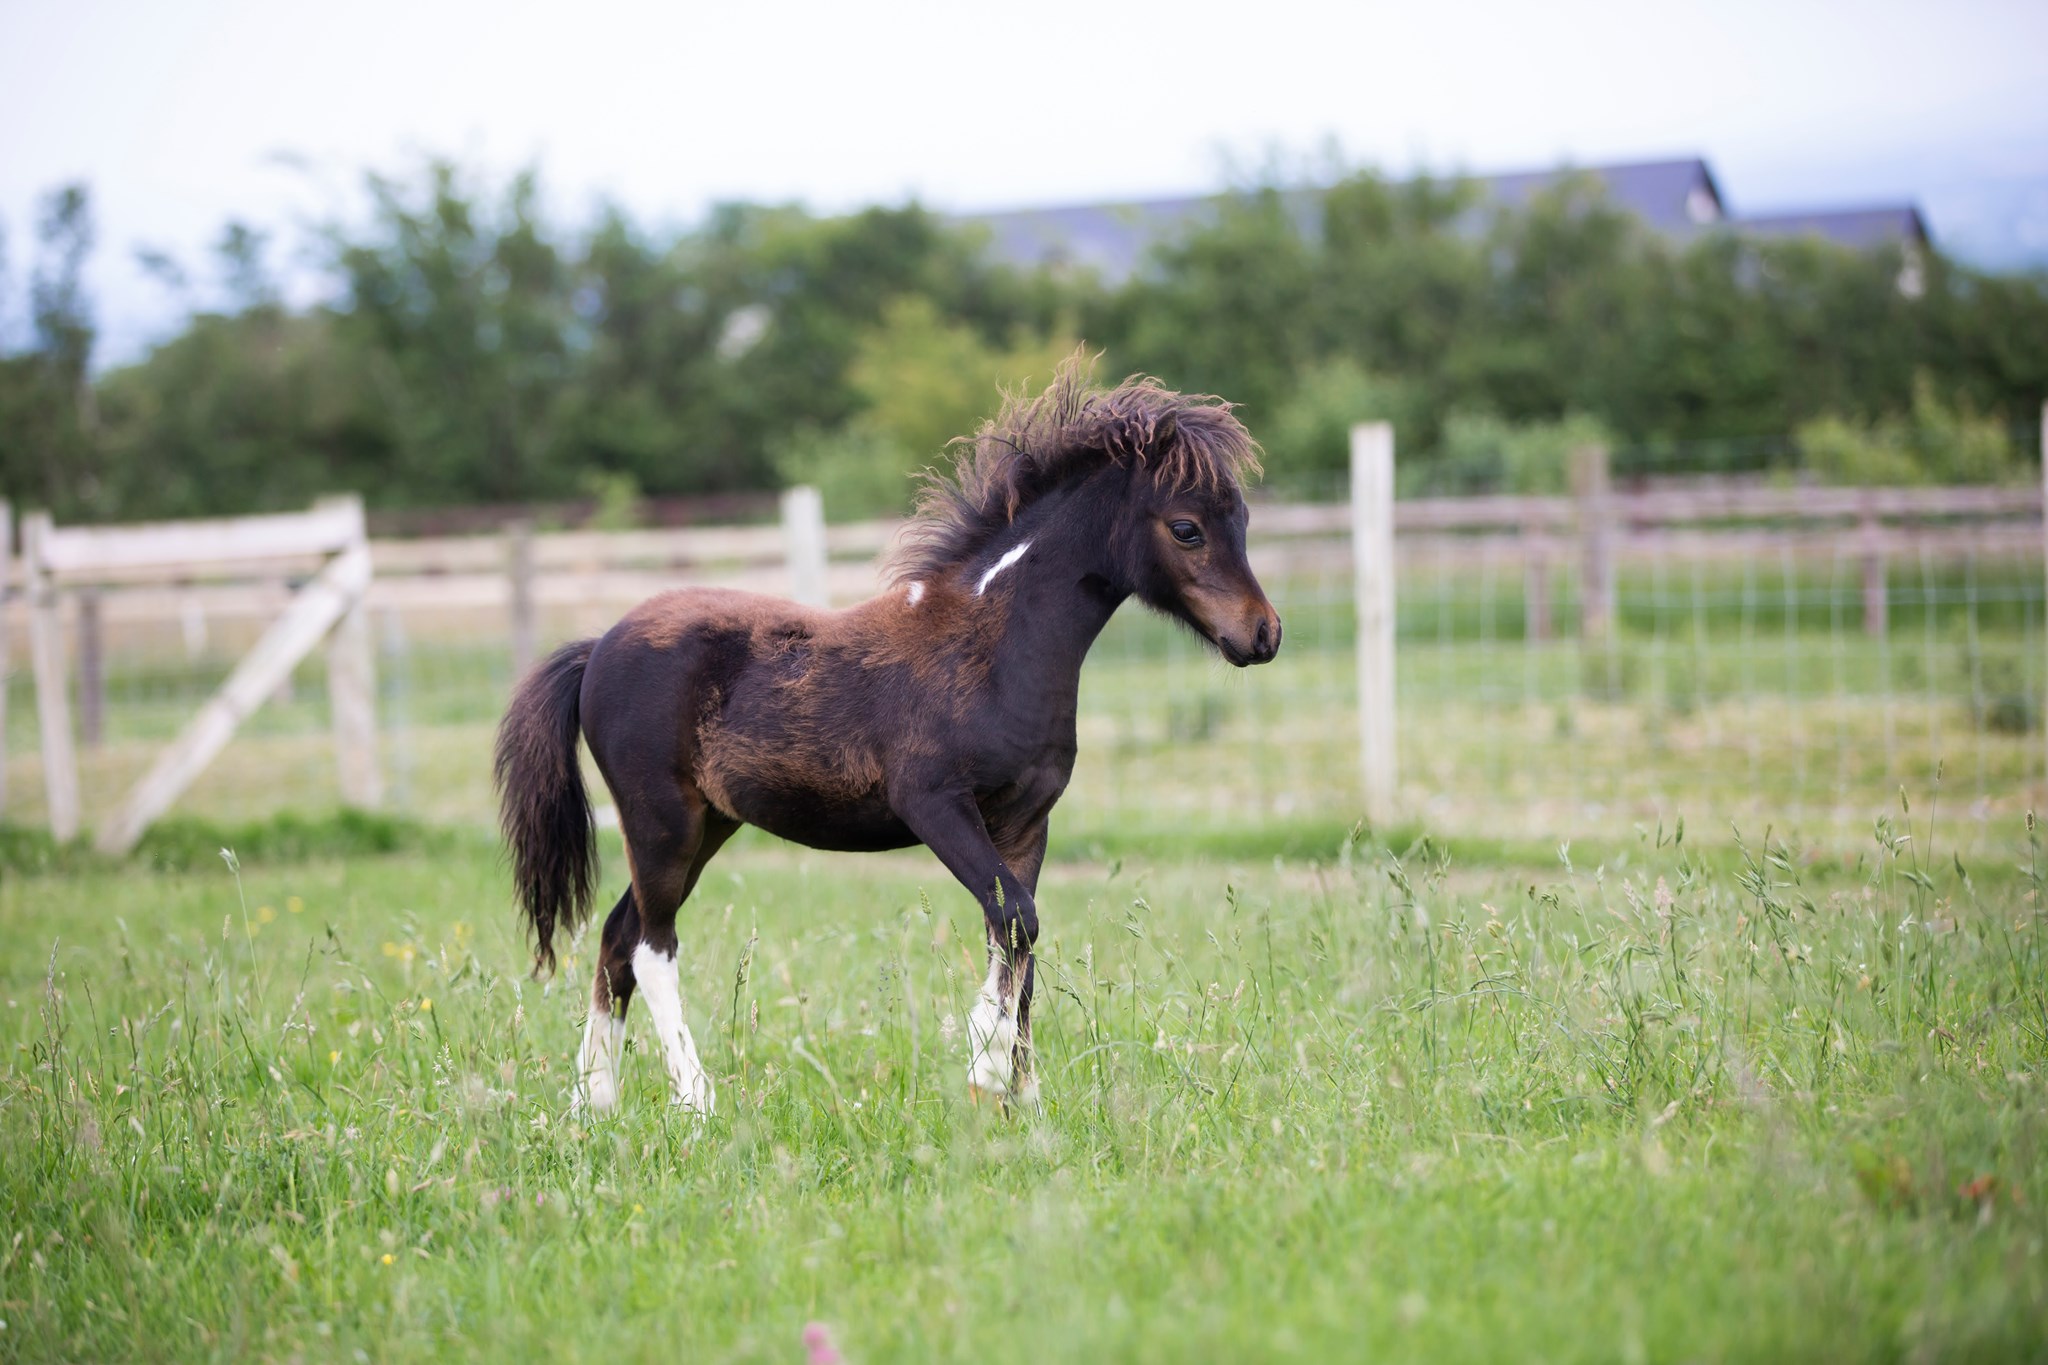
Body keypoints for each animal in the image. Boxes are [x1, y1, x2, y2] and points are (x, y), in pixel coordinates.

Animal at [493, 359, 1281, 1116]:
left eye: (1241, 519)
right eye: (1186, 528)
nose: (1264, 634)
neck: (995, 647)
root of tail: (597, 649)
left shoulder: (1027, 821)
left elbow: (1019, 937)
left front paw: (1023, 1099)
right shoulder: (934, 804)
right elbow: (1014, 922)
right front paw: (987, 1070)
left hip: (707, 825)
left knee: (617, 936)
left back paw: (594, 1101)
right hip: (662, 821)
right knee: (652, 947)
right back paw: (694, 1100)